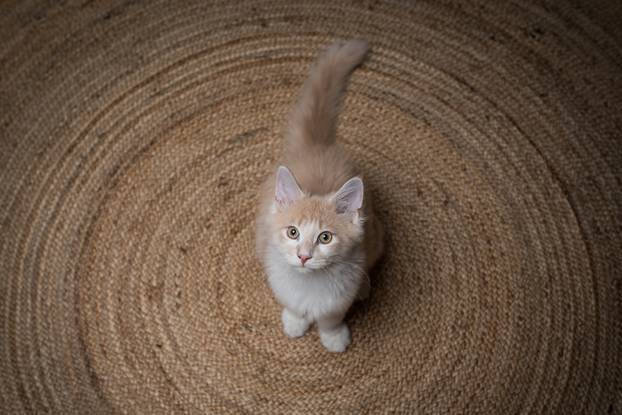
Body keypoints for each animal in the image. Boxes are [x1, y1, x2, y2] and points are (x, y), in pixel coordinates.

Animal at [255, 39, 386, 352]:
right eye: (292, 232)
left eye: (325, 237)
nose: (303, 256)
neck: (309, 284)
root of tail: (318, 145)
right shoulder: (280, 280)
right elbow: (293, 306)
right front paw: (295, 323)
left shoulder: (339, 297)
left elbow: (331, 318)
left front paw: (334, 337)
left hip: (376, 236)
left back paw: (364, 287)